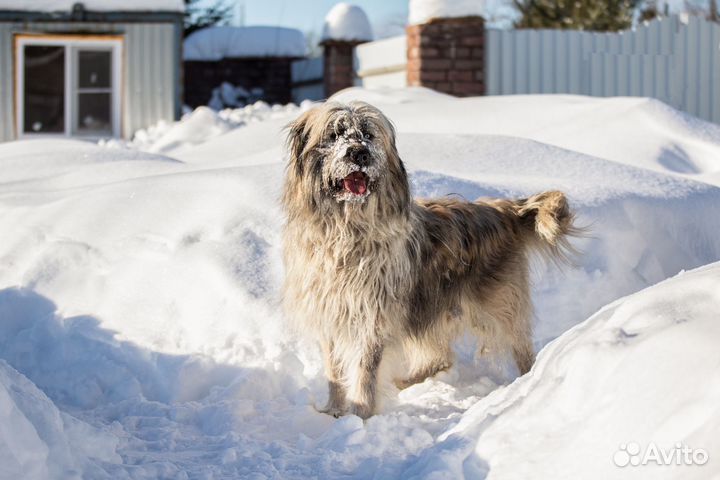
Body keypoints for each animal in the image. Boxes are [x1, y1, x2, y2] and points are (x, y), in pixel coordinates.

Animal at [278, 102, 576, 420]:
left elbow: (365, 369)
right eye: (335, 134)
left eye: (368, 134)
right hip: (428, 309)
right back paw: (404, 381)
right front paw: (334, 411)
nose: (360, 154)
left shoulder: (374, 314)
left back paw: (528, 382)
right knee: (441, 357)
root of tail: (503, 210)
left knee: (519, 346)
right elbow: (334, 369)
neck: (346, 231)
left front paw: (359, 414)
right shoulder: (329, 314)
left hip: (500, 303)